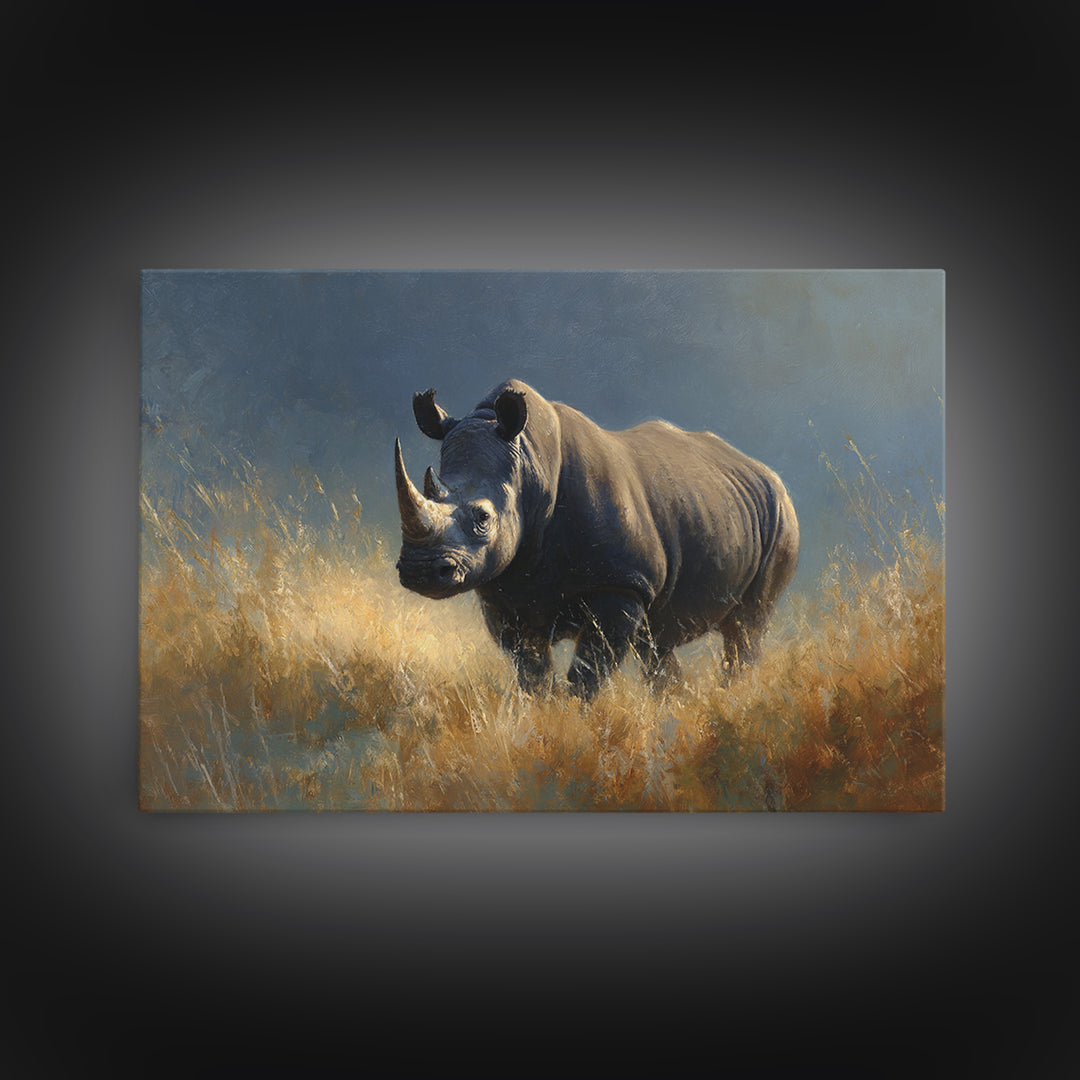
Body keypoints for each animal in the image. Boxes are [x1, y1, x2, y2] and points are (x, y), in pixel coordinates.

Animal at [394, 379, 798, 700]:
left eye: (483, 518)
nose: (419, 571)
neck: (529, 466)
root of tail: (764, 471)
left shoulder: (621, 584)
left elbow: (587, 673)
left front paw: (575, 722)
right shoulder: (503, 594)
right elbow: (532, 672)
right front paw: (545, 716)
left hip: (781, 517)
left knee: (746, 628)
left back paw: (733, 699)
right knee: (656, 643)